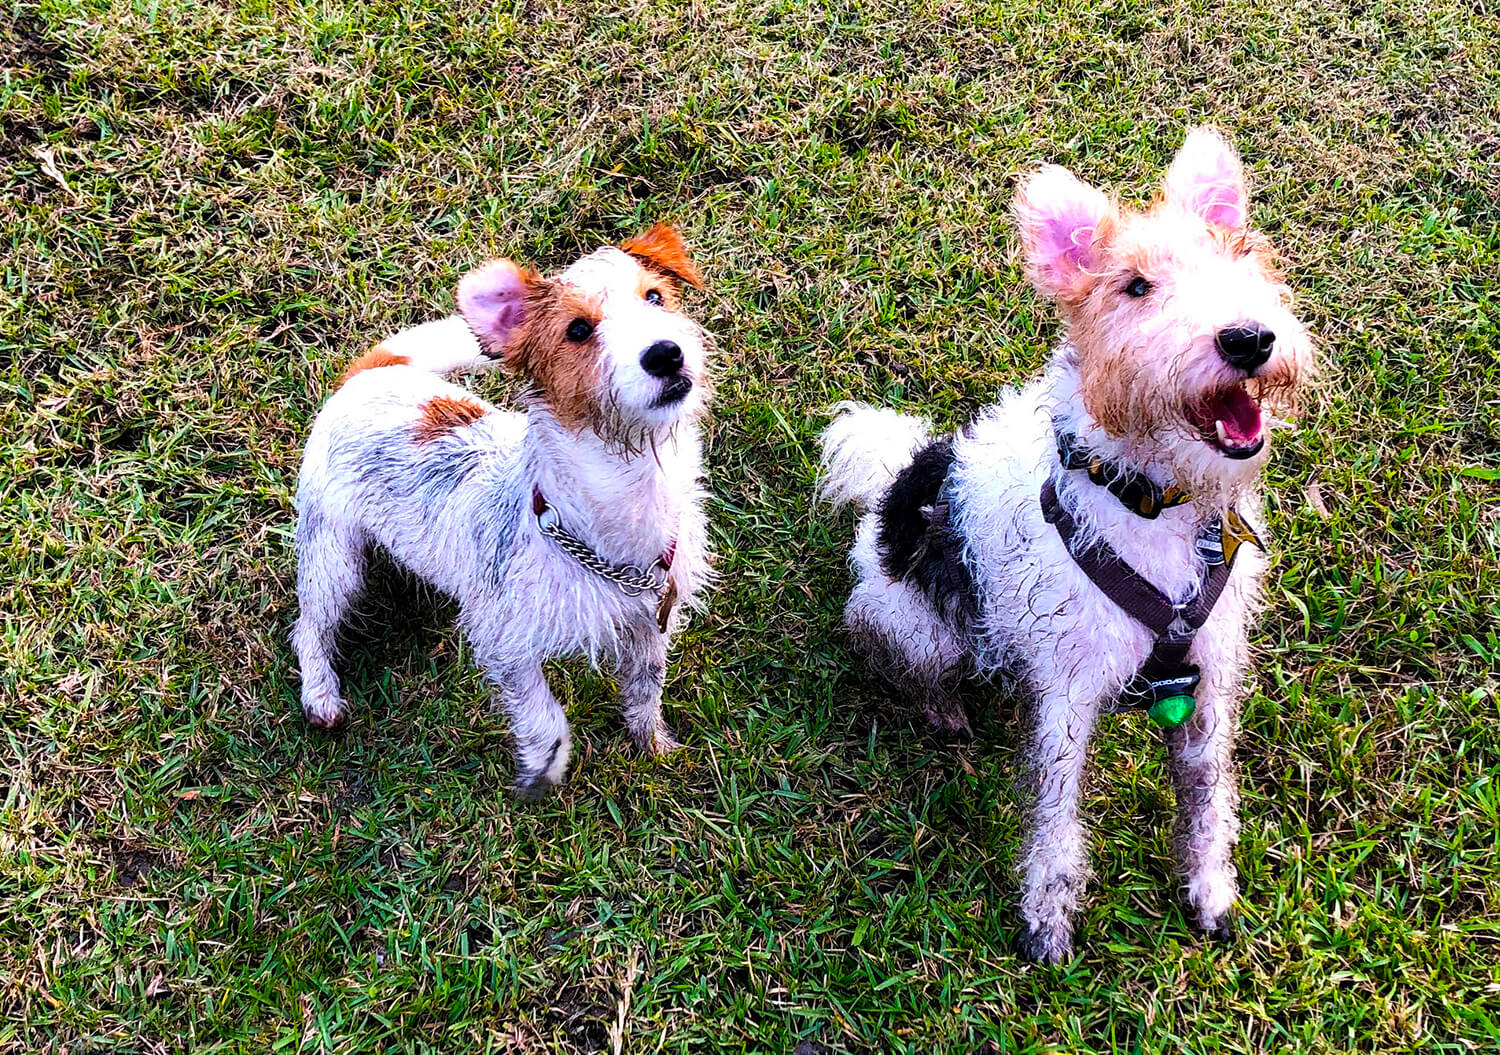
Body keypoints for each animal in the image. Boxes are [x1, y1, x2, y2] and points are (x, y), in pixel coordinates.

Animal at [297, 226, 714, 798]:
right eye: (578, 330)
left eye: (655, 297)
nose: (666, 354)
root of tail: (371, 374)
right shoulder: (506, 645)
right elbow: (545, 716)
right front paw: (543, 771)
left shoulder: (649, 627)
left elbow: (645, 689)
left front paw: (651, 744)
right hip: (332, 558)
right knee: (309, 625)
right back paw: (320, 694)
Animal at [822, 127, 1314, 960]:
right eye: (1136, 286)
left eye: (1236, 255)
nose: (1248, 339)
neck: (1152, 502)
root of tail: (900, 478)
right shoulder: (1068, 693)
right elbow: (1056, 816)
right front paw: (1047, 919)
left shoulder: (1208, 685)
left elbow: (1205, 797)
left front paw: (1209, 891)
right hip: (916, 627)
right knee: (913, 667)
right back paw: (946, 710)